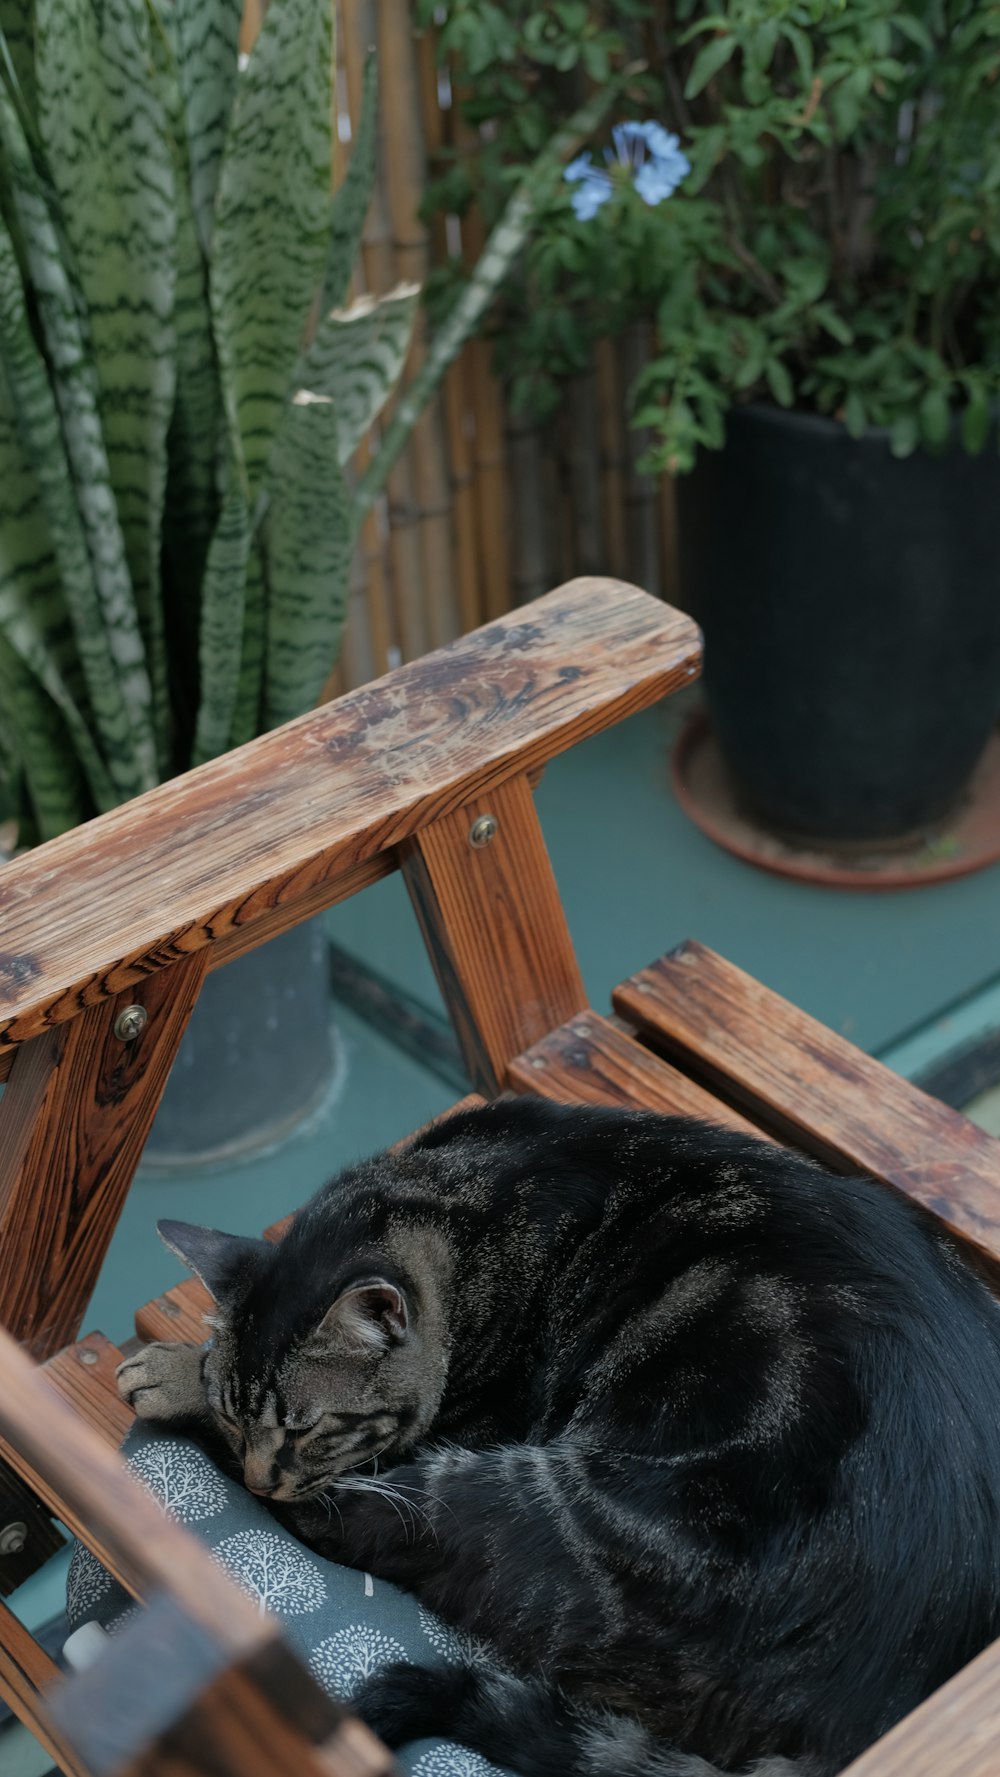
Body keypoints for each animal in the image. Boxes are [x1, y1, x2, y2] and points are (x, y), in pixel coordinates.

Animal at [119, 1094, 1000, 1777]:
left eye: (307, 1427)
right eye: (246, 1414)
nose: (259, 1473)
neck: (450, 1201)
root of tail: (870, 1710)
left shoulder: (444, 1435)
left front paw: (173, 1372)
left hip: (522, 1498)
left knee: (343, 1522)